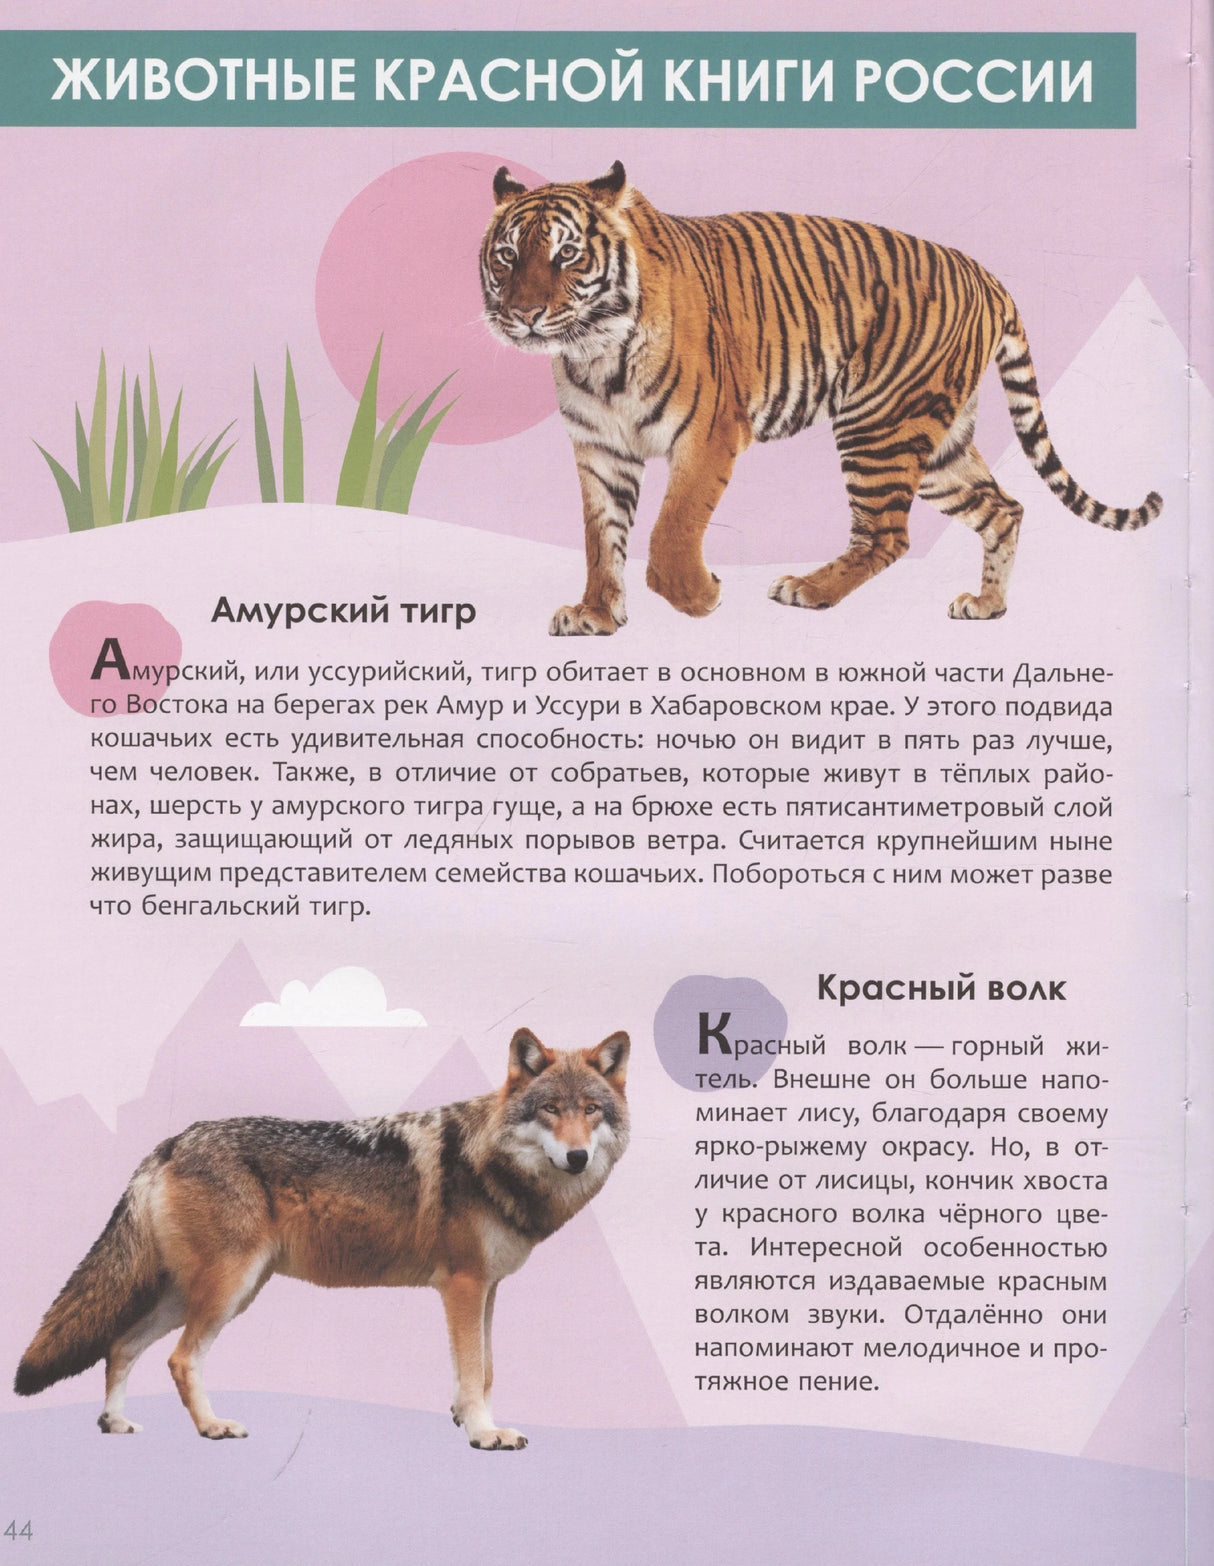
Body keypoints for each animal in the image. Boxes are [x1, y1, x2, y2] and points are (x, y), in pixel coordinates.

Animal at [14, 1027, 630, 1451]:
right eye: (550, 1109)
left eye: (591, 1110)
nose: (577, 1156)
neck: (491, 1162)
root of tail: (170, 1143)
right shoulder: (462, 1286)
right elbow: (476, 1370)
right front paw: (484, 1434)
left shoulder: (487, 1290)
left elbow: (486, 1369)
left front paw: (468, 1419)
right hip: (227, 1291)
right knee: (179, 1359)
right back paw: (212, 1426)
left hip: (197, 1293)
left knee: (120, 1346)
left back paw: (116, 1422)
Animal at [479, 161, 1161, 636]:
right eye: (508, 256)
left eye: (567, 253)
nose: (525, 315)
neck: (593, 351)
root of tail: (986, 276)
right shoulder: (601, 450)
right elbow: (602, 539)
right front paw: (596, 615)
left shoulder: (707, 432)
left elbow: (671, 531)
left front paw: (703, 595)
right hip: (937, 446)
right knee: (1004, 507)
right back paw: (988, 604)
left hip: (879, 425)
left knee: (886, 535)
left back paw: (809, 590)